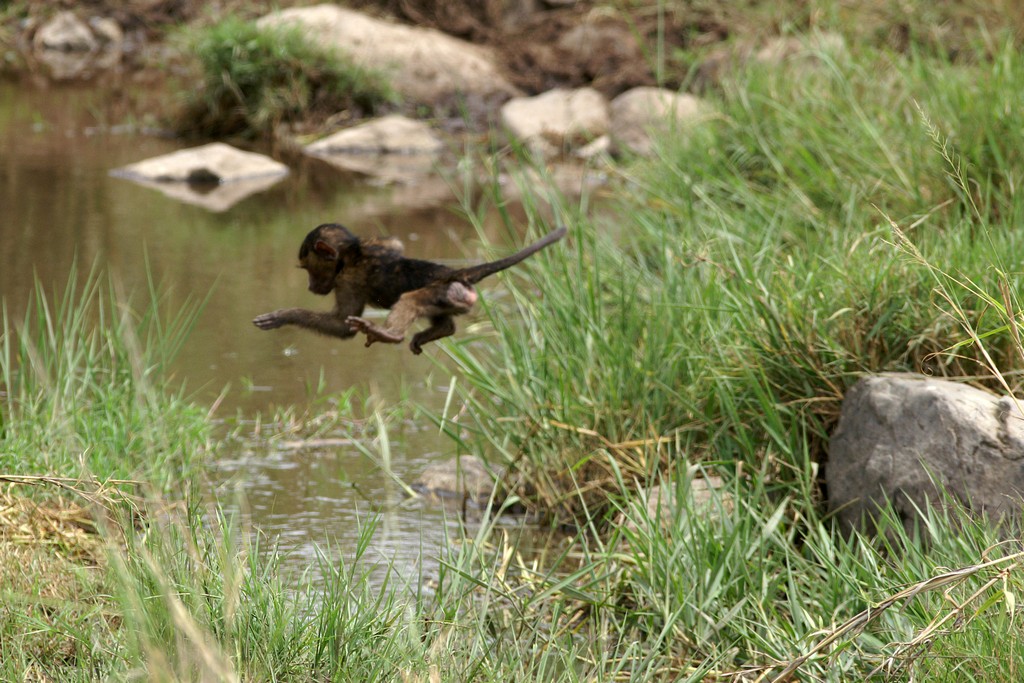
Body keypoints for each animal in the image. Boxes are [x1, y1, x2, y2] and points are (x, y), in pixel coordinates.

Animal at [251, 224, 565, 356]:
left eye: (308, 269)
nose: (310, 285)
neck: (349, 256)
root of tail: (456, 274)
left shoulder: (347, 279)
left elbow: (344, 325)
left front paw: (284, 315)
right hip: (451, 297)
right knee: (446, 323)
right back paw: (438, 331)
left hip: (441, 290)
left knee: (411, 299)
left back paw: (389, 334)